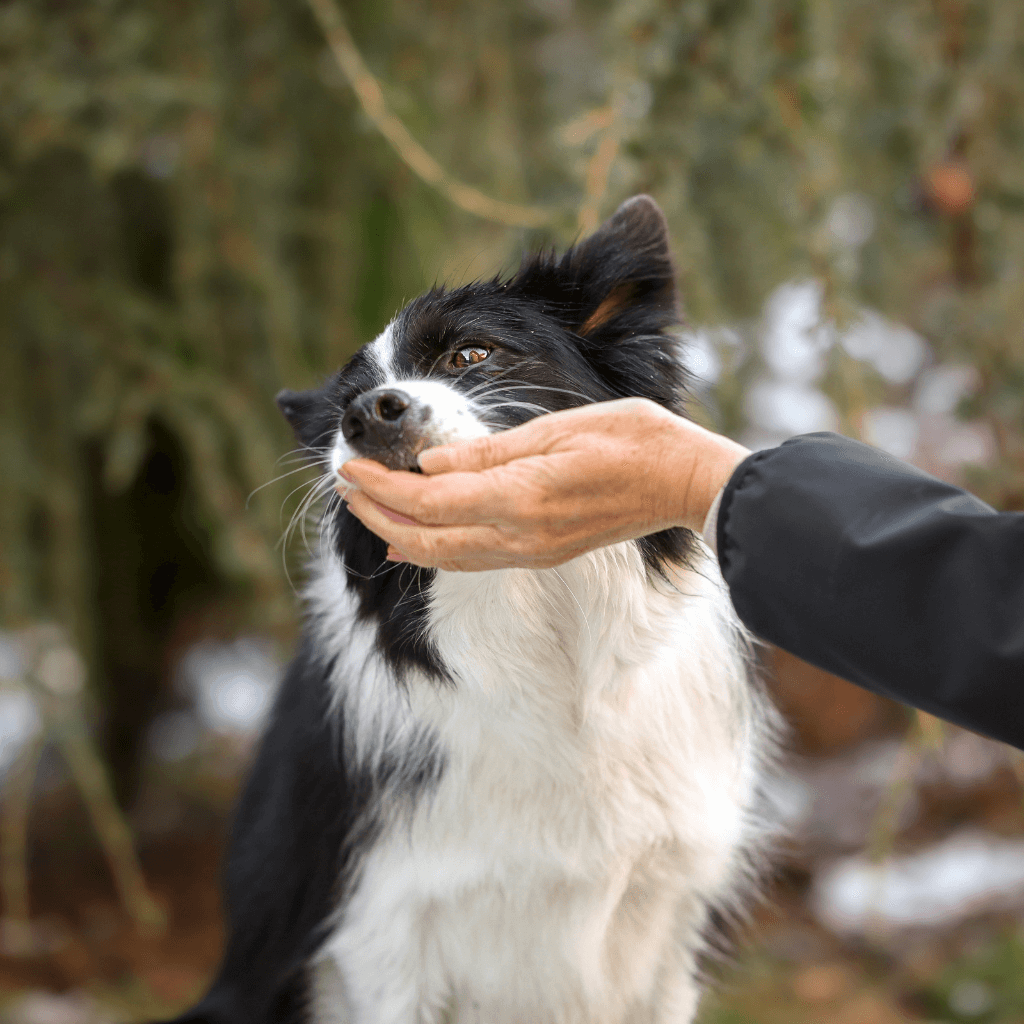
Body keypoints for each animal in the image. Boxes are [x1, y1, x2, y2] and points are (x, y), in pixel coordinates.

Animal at [172, 193, 774, 1024]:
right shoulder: (383, 936)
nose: (368, 415)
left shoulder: (671, 918)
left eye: (469, 356)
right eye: (342, 414)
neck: (553, 656)